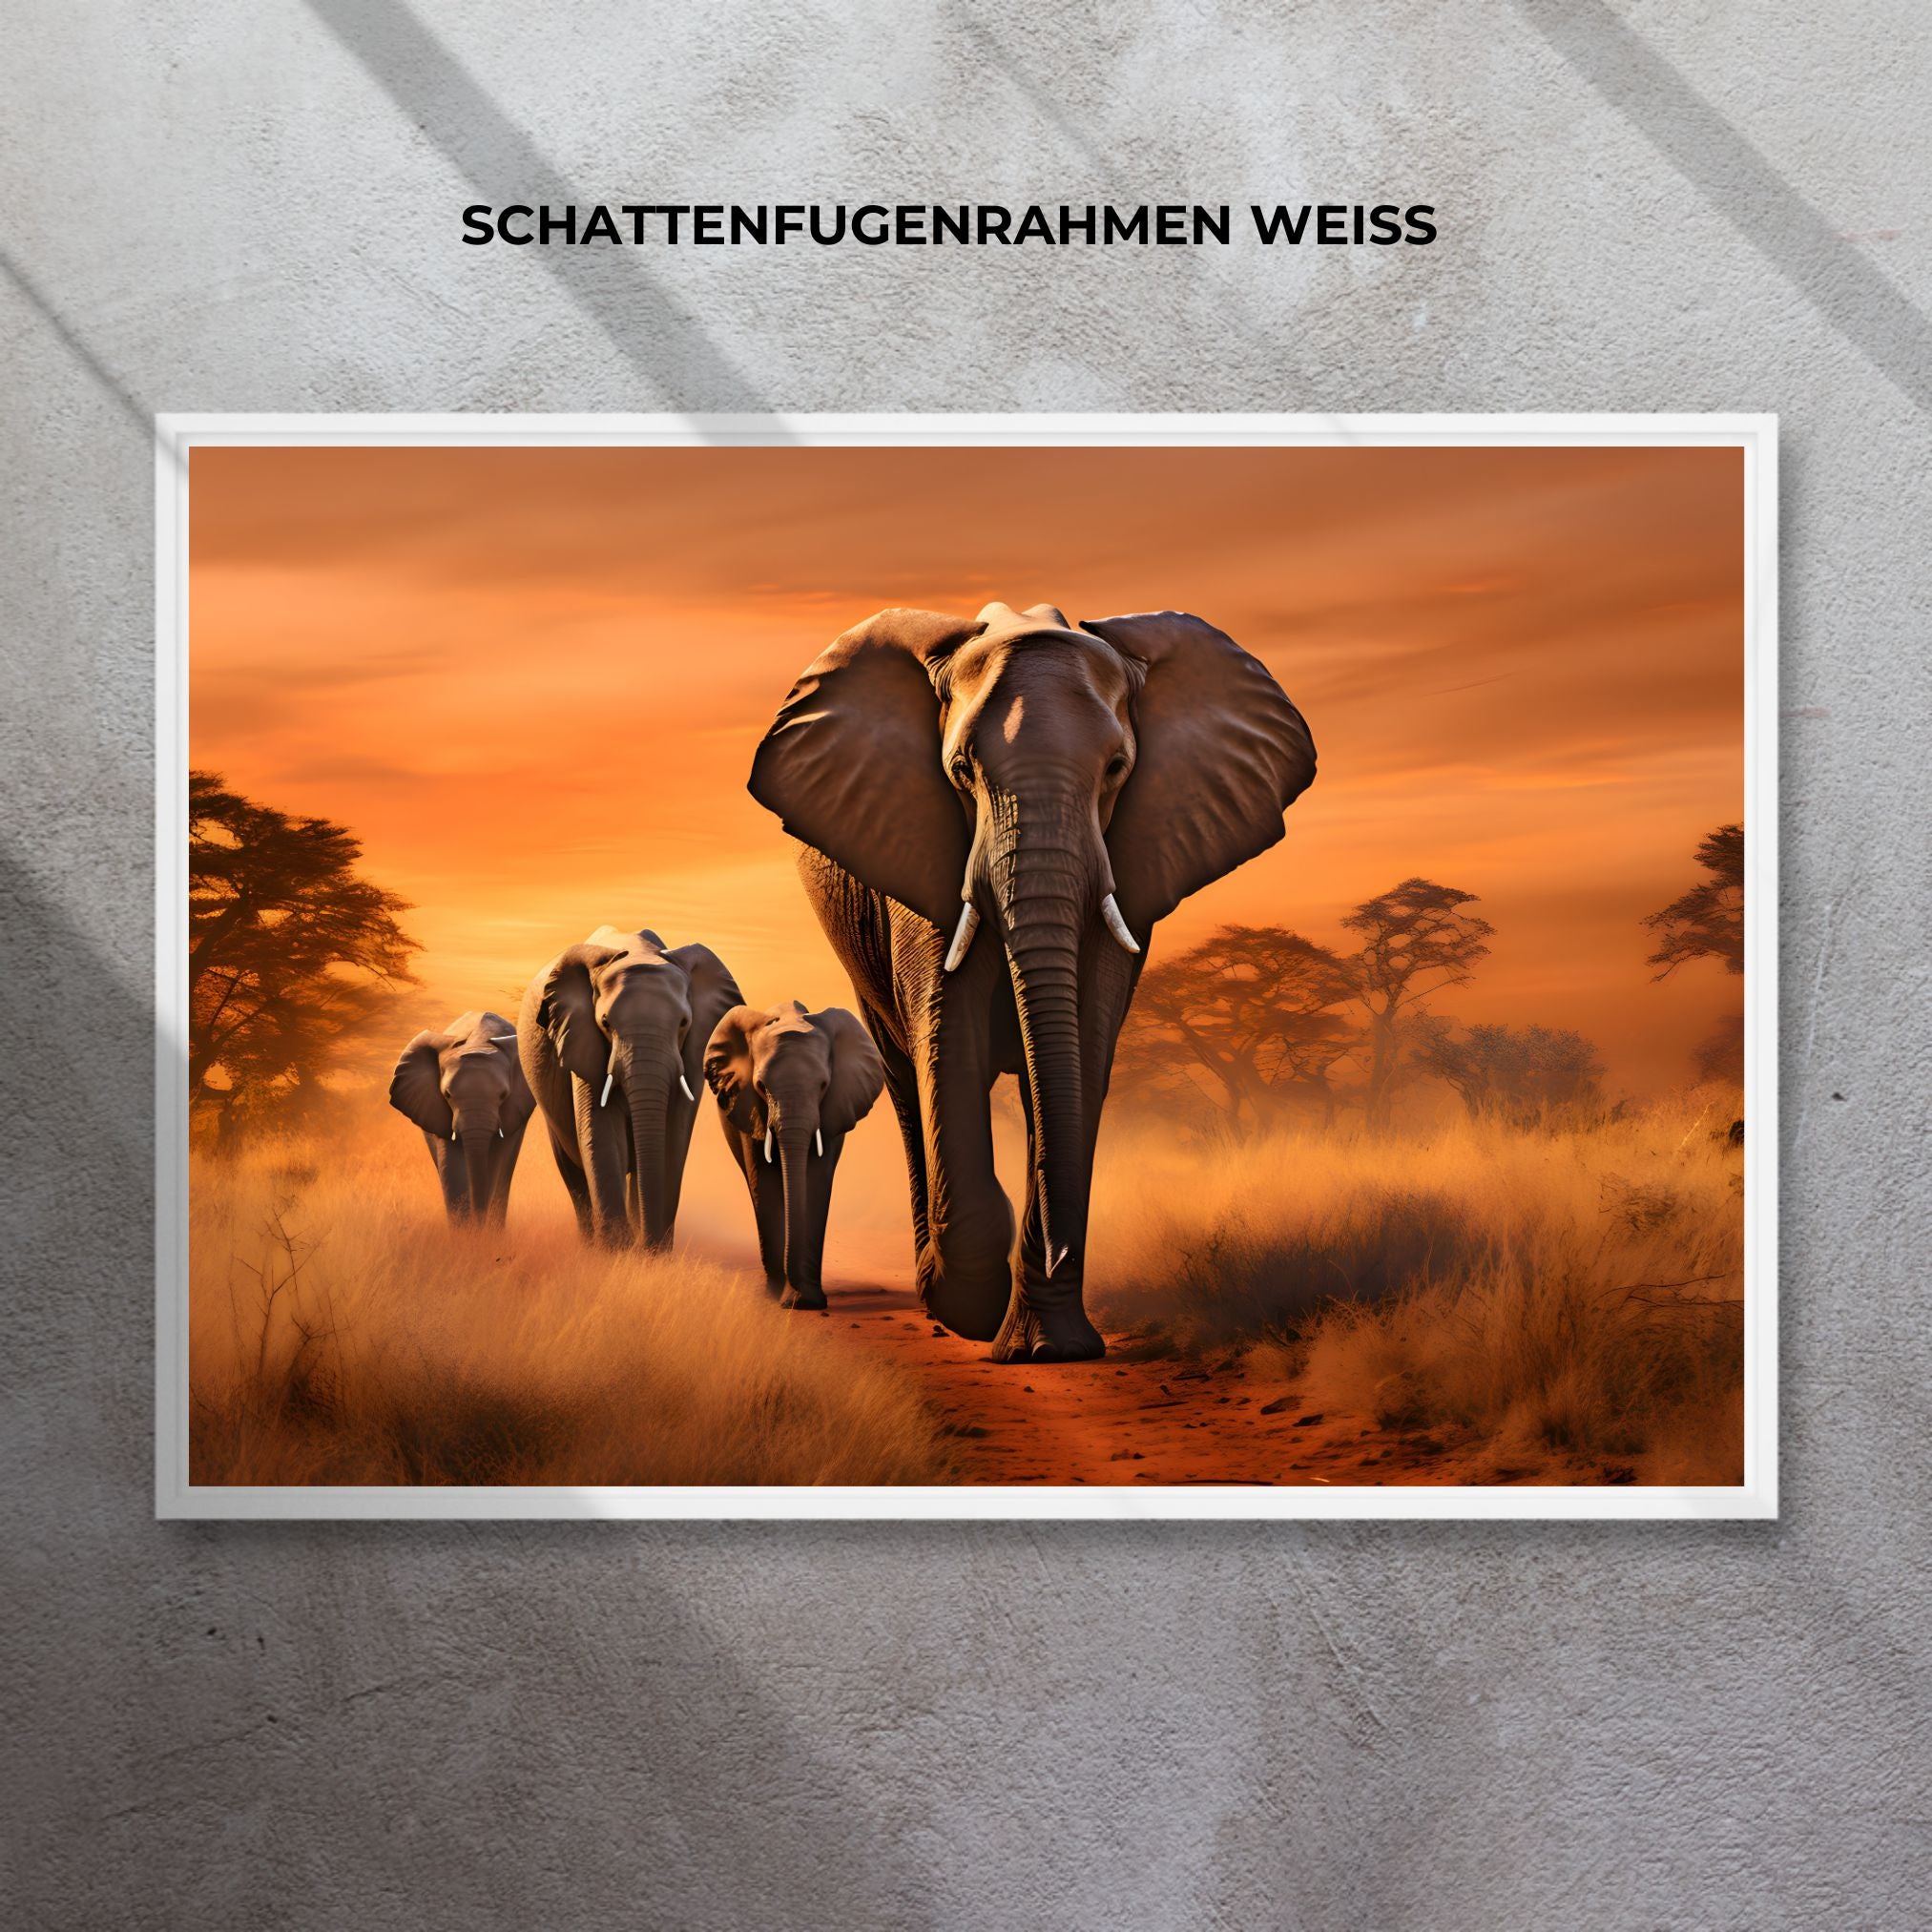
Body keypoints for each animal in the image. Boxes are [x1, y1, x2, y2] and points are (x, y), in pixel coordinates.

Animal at [388, 1010, 535, 1225]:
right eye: (447, 1094)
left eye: (503, 1095)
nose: (478, 1221)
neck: (477, 1043)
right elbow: (452, 1166)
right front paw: (463, 1232)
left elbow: (495, 1162)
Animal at [518, 927, 741, 1248]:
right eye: (605, 1023)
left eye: (684, 1023)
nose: (644, 1245)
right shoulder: (581, 1040)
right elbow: (601, 1134)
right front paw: (616, 1252)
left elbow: (673, 1139)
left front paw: (653, 1254)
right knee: (572, 1168)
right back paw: (590, 1246)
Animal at [703, 1000, 886, 1310]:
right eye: (761, 1086)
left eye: (823, 1085)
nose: (795, 1298)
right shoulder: (747, 1105)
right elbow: (763, 1179)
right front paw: (778, 1296)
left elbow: (815, 1179)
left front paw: (807, 1301)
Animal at [748, 601, 1315, 1362]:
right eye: (960, 770)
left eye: (1117, 768)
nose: (1053, 1249)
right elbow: (948, 1035)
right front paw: (970, 1309)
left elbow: (1085, 1044)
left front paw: (1051, 1349)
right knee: (906, 1080)